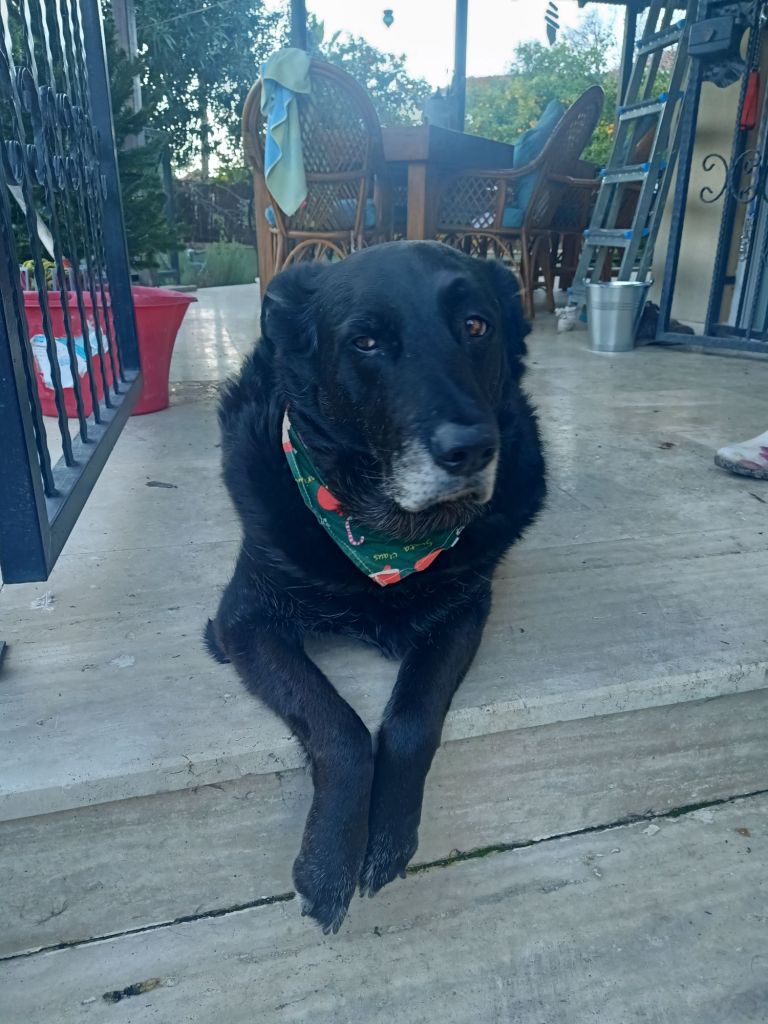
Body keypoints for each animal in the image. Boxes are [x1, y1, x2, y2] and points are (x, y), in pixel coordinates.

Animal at [206, 241, 545, 934]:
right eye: (365, 342)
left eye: (476, 325)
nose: (472, 451)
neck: (385, 538)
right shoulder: (242, 621)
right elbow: (339, 726)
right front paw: (329, 861)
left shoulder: (466, 611)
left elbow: (413, 717)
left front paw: (388, 836)